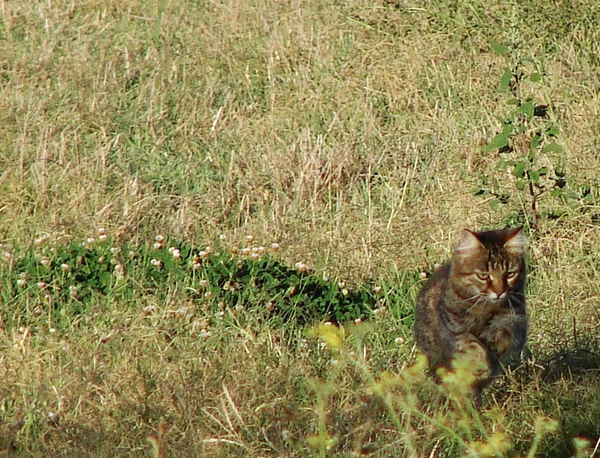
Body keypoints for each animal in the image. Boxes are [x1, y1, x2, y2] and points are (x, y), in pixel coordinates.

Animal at [414, 226, 528, 398]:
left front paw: (496, 346)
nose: (499, 292)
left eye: (509, 274)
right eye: (483, 276)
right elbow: (474, 347)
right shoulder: (456, 332)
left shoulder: (516, 320)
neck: (485, 309)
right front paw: (482, 362)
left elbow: (505, 334)